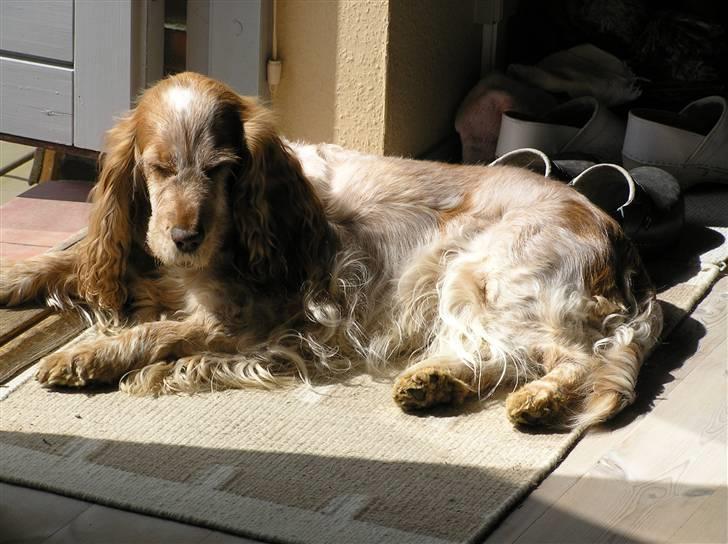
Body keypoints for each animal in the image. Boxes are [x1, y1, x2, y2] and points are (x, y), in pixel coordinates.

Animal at [0, 73, 664, 430]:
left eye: (220, 170)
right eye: (158, 168)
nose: (184, 237)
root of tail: (621, 241)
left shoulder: (244, 322)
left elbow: (154, 333)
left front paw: (87, 357)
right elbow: (68, 261)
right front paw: (15, 278)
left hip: (478, 276)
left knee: (565, 361)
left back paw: (534, 401)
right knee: (499, 359)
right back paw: (431, 384)